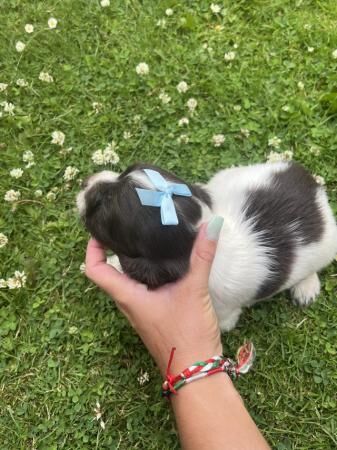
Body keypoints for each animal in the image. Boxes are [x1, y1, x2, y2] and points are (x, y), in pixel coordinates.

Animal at [76, 162, 336, 330]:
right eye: (123, 171)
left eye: (103, 204)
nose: (85, 181)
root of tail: (315, 190)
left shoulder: (222, 315)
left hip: (327, 243)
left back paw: (306, 287)